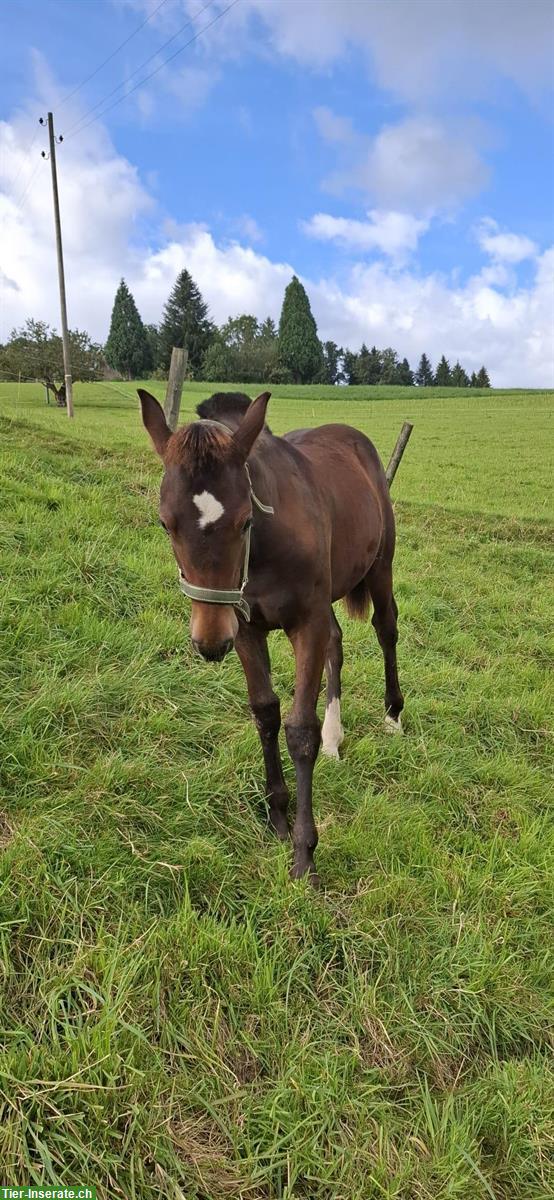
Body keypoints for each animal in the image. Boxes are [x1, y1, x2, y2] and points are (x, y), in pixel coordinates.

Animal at [139, 388, 402, 888]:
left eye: (245, 520)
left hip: (379, 566)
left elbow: (299, 730)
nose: (209, 643)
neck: (262, 553)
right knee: (337, 641)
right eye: (164, 523)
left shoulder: (305, 624)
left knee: (387, 629)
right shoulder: (245, 628)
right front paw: (277, 816)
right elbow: (265, 713)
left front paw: (304, 854)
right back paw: (336, 737)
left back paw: (394, 715)